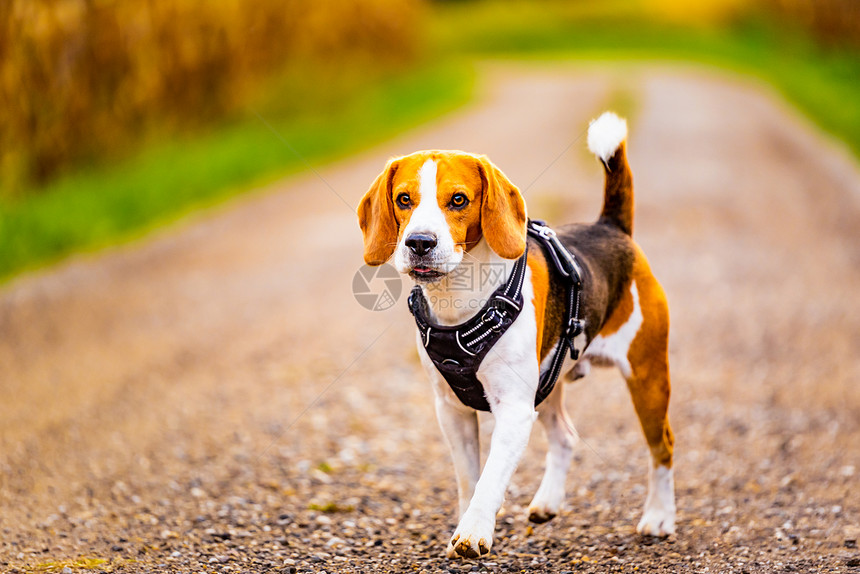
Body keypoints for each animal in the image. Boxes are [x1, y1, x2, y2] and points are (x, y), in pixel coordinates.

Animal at [354, 113, 672, 564]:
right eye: (403, 199)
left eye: (458, 200)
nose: (419, 243)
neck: (458, 300)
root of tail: (610, 227)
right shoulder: (451, 411)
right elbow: (468, 479)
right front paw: (464, 522)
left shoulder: (515, 411)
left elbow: (489, 479)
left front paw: (473, 532)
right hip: (549, 381)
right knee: (566, 437)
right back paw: (548, 502)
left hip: (648, 378)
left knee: (663, 446)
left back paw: (659, 517)